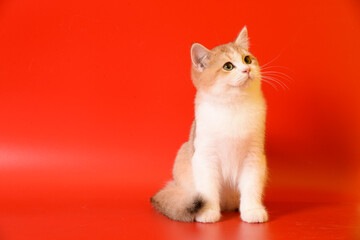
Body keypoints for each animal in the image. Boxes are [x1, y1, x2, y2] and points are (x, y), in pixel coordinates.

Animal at [150, 27, 268, 224]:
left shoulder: (253, 157)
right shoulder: (206, 158)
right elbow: (208, 191)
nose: (247, 69)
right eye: (228, 66)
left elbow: (251, 188)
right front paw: (208, 212)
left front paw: (252, 210)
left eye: (247, 59)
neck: (233, 106)